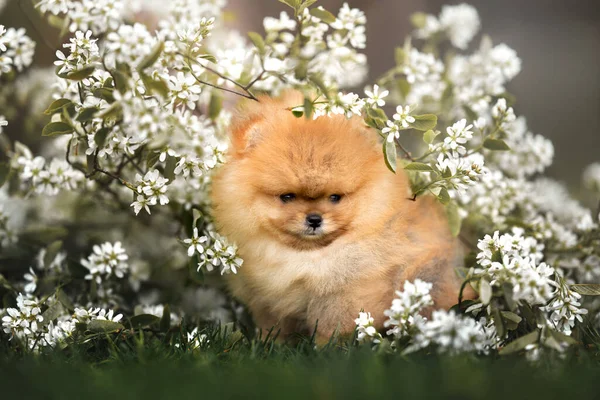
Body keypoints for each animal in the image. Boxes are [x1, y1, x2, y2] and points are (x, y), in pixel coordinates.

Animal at [211, 92, 464, 342]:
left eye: (335, 197)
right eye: (287, 196)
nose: (314, 219)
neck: (307, 257)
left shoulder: (346, 295)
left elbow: (331, 332)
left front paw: (325, 350)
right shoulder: (269, 300)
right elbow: (273, 330)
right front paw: (268, 344)